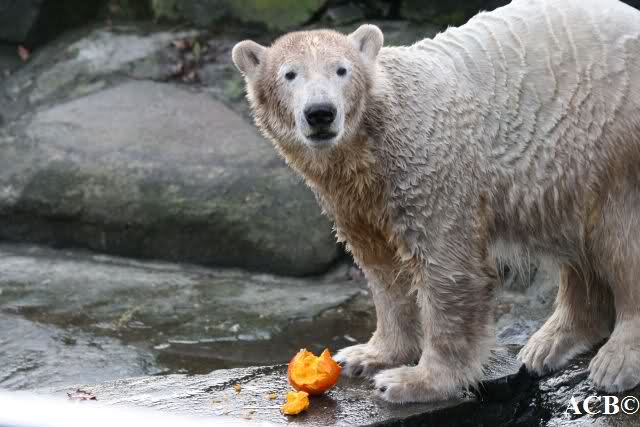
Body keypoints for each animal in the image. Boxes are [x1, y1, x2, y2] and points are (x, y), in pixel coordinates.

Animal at [232, 0, 640, 403]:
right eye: (289, 74)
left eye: (341, 69)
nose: (320, 112)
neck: (373, 139)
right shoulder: (358, 198)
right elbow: (382, 269)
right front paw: (365, 355)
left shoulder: (429, 168)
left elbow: (447, 270)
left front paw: (414, 381)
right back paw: (549, 343)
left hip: (616, 136)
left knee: (619, 238)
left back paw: (614, 362)